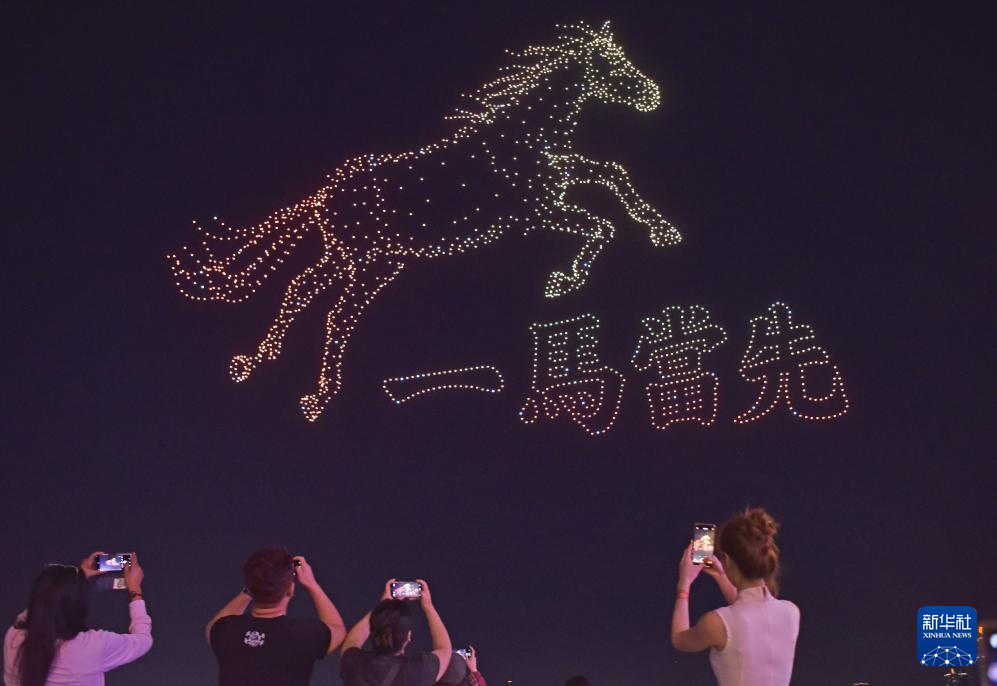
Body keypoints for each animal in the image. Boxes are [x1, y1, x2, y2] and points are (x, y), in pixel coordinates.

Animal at [168, 20, 680, 421]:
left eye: (624, 55)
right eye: (613, 65)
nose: (654, 96)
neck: (526, 137)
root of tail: (325, 194)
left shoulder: (559, 179)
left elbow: (613, 174)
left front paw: (663, 230)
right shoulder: (535, 214)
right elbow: (600, 225)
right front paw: (564, 281)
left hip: (362, 260)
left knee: (300, 289)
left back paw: (256, 363)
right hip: (367, 262)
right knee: (336, 314)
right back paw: (316, 396)